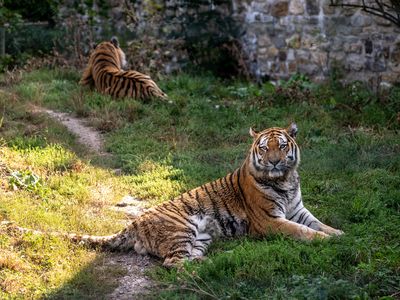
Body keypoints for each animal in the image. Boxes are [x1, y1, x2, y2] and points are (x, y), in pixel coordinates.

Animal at [0, 123, 344, 268]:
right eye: (264, 147)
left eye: (282, 146)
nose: (273, 161)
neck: (284, 180)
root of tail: (132, 224)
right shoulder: (270, 221)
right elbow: (302, 232)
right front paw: (326, 241)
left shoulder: (298, 210)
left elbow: (320, 224)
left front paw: (340, 234)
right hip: (183, 228)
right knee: (172, 264)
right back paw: (214, 264)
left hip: (200, 238)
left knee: (185, 259)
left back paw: (222, 258)